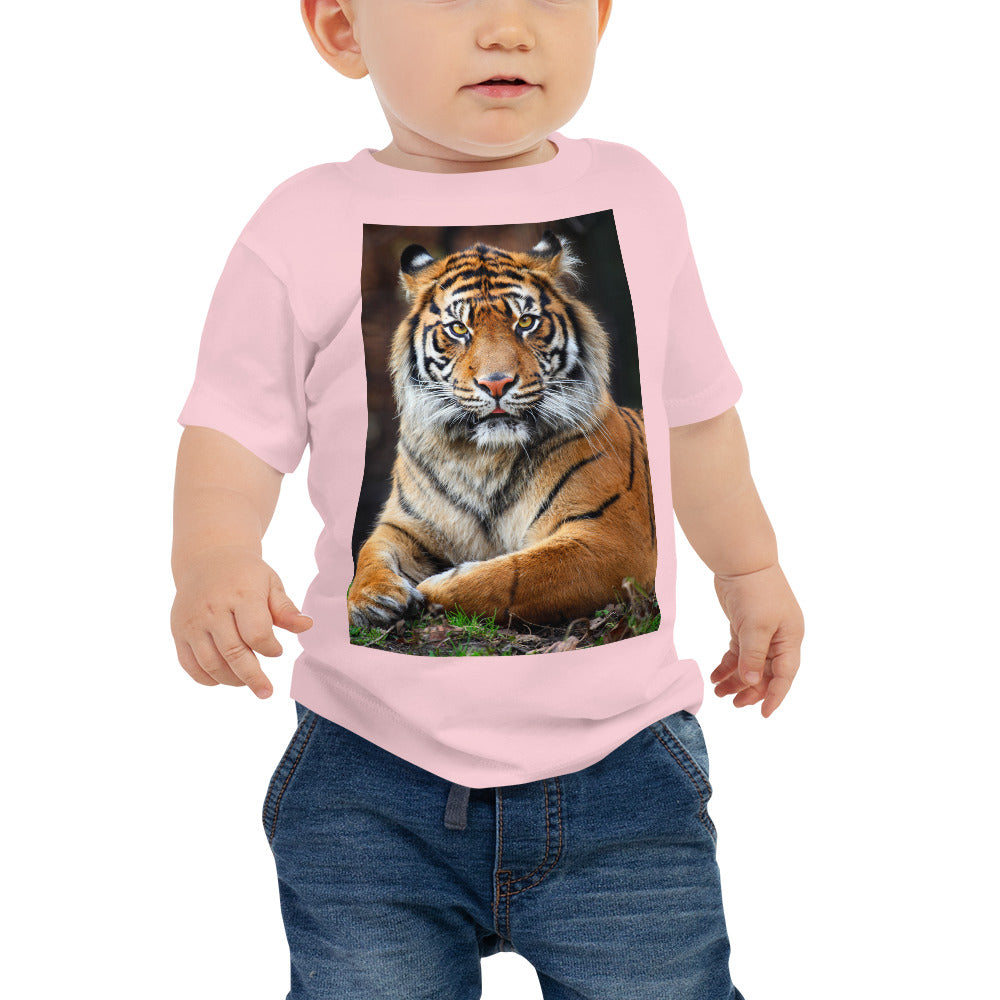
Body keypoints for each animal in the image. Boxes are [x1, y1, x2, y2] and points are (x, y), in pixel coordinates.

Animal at [347, 229, 657, 634]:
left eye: (525, 322)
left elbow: (514, 576)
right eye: (458, 329)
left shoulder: (612, 538)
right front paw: (371, 599)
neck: (484, 457)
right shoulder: (405, 525)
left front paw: (434, 590)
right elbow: (368, 553)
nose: (496, 383)